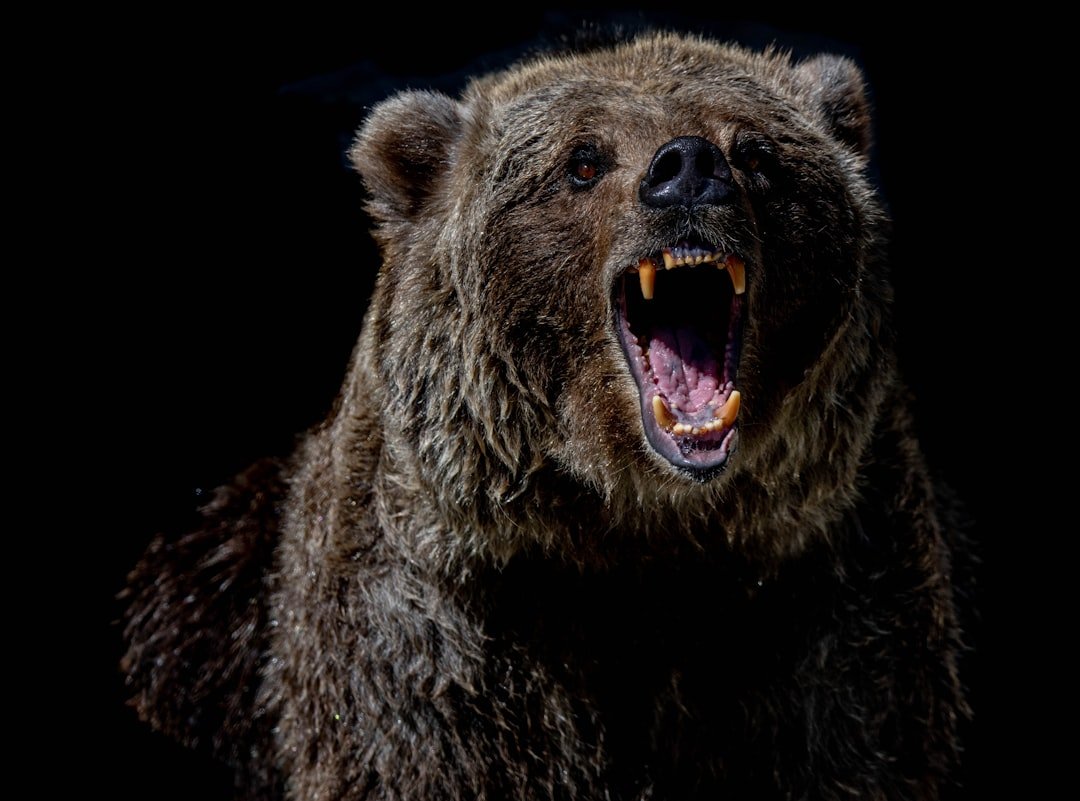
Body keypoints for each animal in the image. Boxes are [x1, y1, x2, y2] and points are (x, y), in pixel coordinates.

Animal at [121, 31, 972, 801]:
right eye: (583, 160)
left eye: (757, 152)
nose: (688, 168)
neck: (638, 536)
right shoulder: (440, 648)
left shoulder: (827, 616)